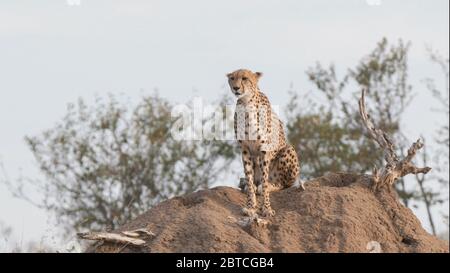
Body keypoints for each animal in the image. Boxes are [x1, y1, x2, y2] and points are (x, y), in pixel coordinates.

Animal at [225, 69, 302, 220]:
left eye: (244, 78)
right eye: (232, 78)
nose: (236, 88)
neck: (246, 102)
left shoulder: (264, 149)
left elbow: (265, 180)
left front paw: (266, 208)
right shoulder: (245, 149)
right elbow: (249, 177)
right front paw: (250, 206)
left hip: (288, 150)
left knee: (283, 184)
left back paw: (267, 186)